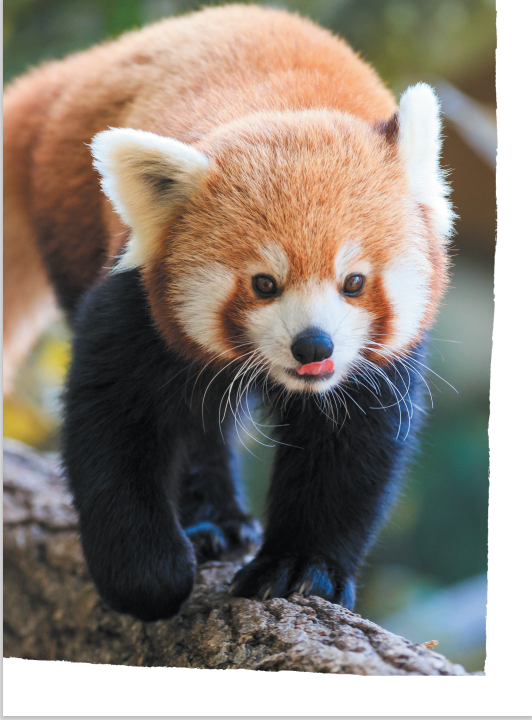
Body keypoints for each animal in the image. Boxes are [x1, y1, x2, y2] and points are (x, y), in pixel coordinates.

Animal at [3, 4, 453, 621]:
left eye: (354, 282)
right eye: (264, 284)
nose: (314, 345)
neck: (282, 107)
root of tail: (77, 69)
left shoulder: (376, 364)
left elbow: (350, 449)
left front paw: (299, 567)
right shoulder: (135, 302)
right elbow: (111, 426)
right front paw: (150, 575)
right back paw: (207, 523)